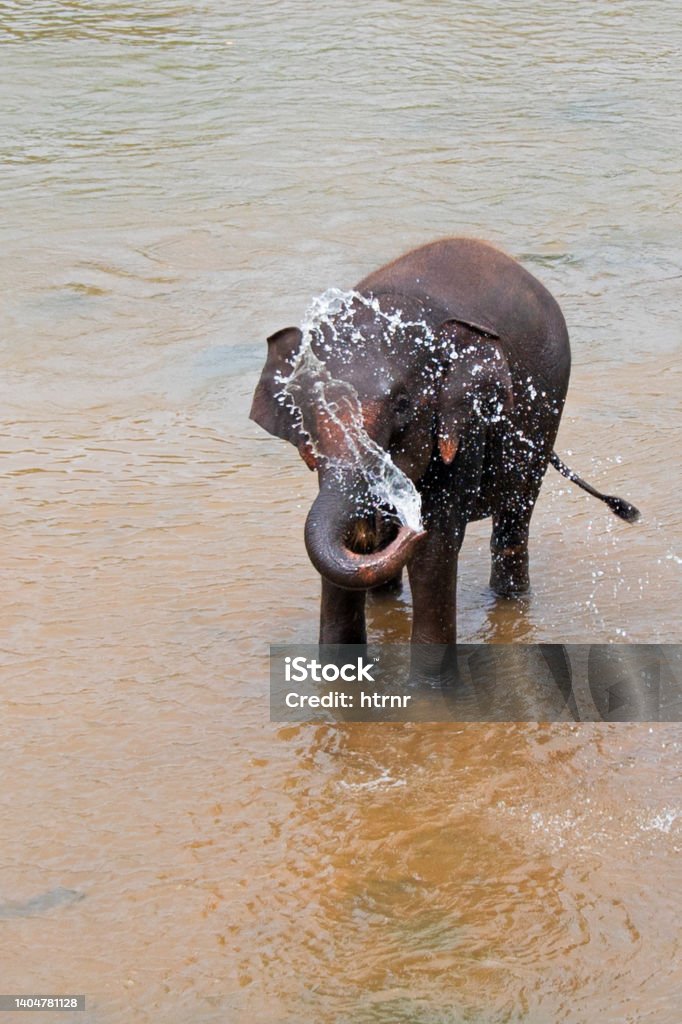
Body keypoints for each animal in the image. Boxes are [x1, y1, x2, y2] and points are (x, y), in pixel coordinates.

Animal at [249, 235, 638, 643]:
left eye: (403, 404)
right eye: (305, 404)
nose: (408, 523)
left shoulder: (464, 428)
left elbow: (434, 550)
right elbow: (352, 542)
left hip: (546, 412)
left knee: (514, 518)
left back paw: (509, 599)